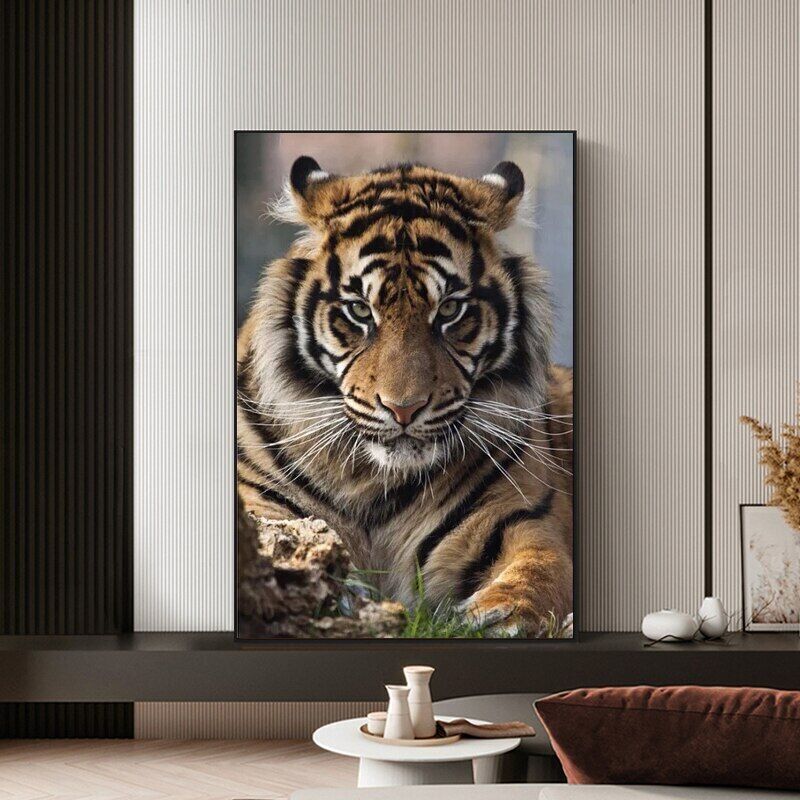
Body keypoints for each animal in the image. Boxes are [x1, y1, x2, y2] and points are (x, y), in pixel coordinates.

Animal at [237, 156, 573, 636]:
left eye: (450, 310)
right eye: (359, 311)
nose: (403, 409)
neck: (371, 480)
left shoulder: (521, 519)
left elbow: (539, 570)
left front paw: (496, 617)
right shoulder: (258, 502)